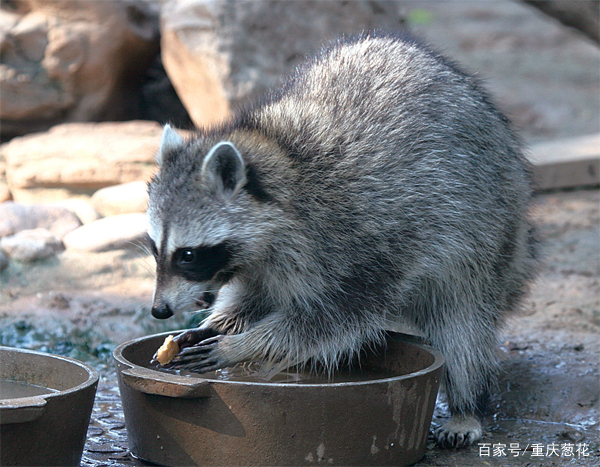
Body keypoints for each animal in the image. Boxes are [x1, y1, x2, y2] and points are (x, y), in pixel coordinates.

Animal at [146, 31, 540, 448]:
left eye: (188, 255)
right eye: (156, 248)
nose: (159, 311)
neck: (281, 160)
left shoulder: (361, 240)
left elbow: (335, 319)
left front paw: (242, 344)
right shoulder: (259, 259)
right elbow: (254, 296)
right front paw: (219, 324)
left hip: (486, 229)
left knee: (462, 321)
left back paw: (467, 405)